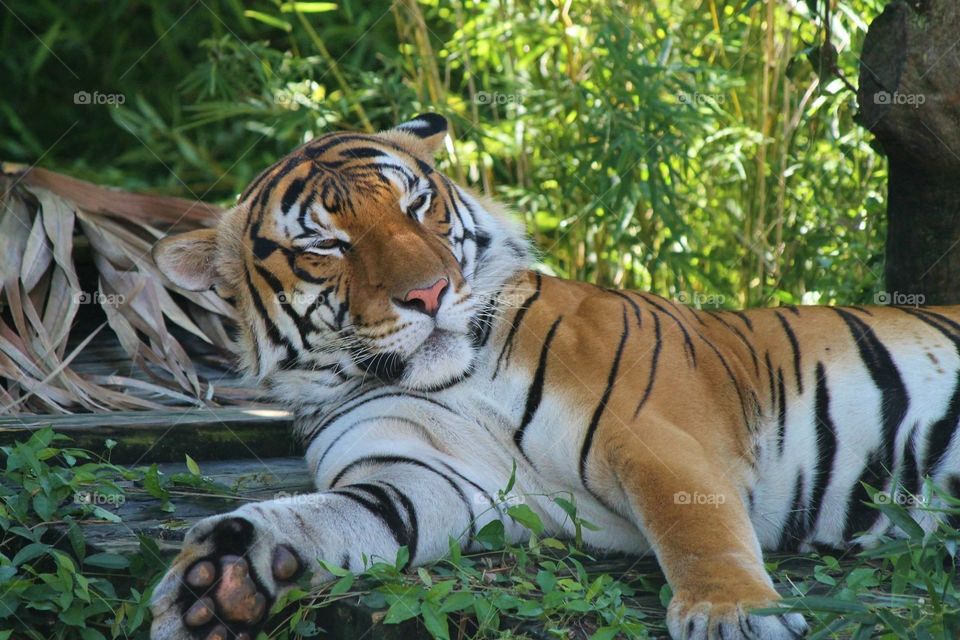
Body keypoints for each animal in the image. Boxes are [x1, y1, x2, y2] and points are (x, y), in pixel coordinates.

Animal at [149, 113, 960, 640]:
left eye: (417, 205)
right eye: (324, 246)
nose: (429, 294)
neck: (451, 381)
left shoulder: (655, 434)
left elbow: (697, 529)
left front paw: (730, 616)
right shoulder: (422, 476)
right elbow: (342, 516)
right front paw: (224, 581)